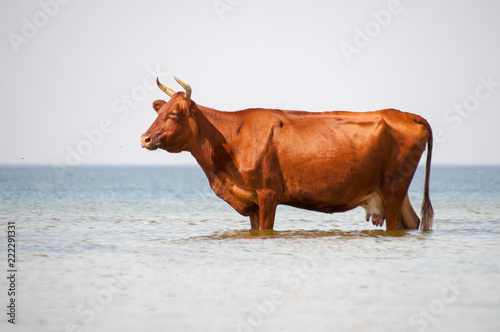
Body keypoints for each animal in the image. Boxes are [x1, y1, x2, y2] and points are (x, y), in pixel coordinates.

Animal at [141, 76, 434, 230]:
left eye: (175, 113)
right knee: (413, 221)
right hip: (393, 192)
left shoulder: (268, 193)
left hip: (394, 189)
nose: (145, 138)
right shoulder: (251, 202)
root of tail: (407, 115)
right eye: (159, 110)